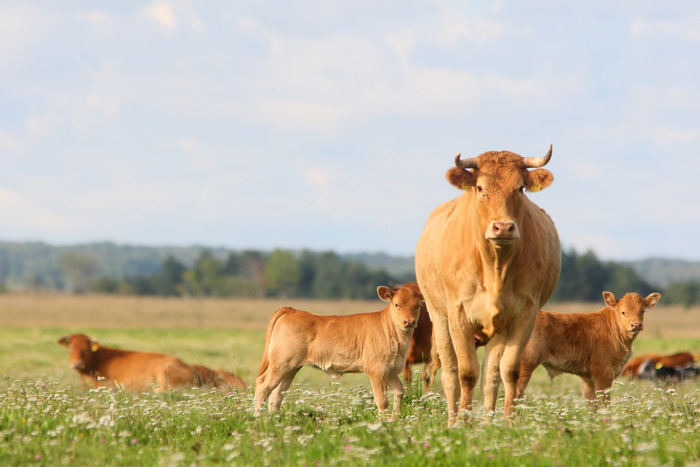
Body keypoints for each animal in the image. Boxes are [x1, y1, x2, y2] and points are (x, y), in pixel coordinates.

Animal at [256, 286, 424, 420]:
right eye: (397, 304)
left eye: (418, 305)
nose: (409, 321)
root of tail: (292, 310)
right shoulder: (377, 369)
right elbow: (382, 400)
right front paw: (383, 423)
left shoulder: (391, 371)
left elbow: (399, 392)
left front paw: (395, 420)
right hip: (280, 364)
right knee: (263, 385)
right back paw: (259, 418)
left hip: (291, 368)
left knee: (277, 394)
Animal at [416, 145, 556, 424]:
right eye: (480, 188)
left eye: (520, 187)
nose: (503, 227)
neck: (495, 267)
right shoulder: (458, 314)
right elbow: (466, 372)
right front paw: (462, 422)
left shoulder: (525, 313)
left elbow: (509, 371)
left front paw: (508, 421)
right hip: (439, 317)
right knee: (450, 372)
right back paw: (452, 418)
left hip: (498, 329)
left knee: (491, 374)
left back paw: (490, 420)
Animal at [516, 290, 660, 404]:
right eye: (623, 312)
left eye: (643, 311)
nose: (636, 325)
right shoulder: (603, 373)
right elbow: (603, 402)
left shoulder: (588, 378)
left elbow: (592, 402)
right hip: (525, 365)